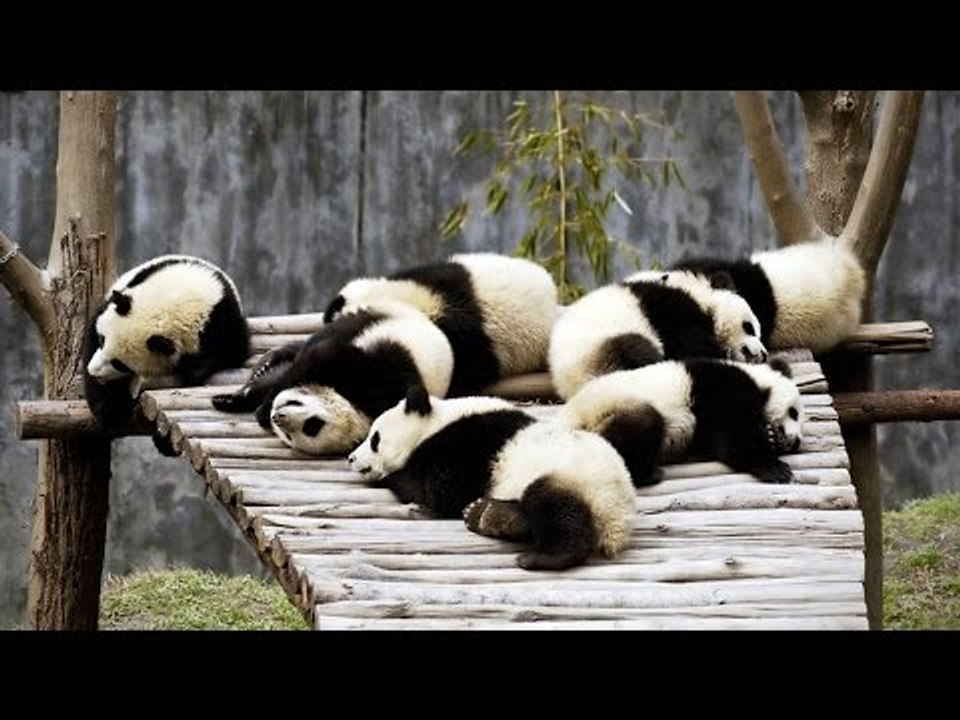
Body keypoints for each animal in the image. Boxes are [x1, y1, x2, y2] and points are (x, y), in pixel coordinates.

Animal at [84, 255, 250, 441]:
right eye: (102, 340)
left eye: (120, 364)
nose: (94, 370)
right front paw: (110, 408)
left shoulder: (222, 320)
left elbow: (231, 353)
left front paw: (193, 368)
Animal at [213, 302, 454, 455]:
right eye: (295, 403)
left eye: (311, 427)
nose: (277, 417)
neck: (358, 407)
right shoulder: (372, 371)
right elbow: (317, 358)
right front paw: (255, 406)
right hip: (371, 319)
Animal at [348, 385, 636, 571]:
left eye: (375, 439)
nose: (351, 459)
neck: (437, 421)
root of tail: (618, 519)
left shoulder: (466, 446)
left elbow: (440, 490)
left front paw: (392, 476)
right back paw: (486, 515)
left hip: (575, 478)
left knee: (556, 506)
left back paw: (541, 557)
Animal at [548, 274, 768, 400]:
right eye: (749, 328)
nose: (764, 354)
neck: (700, 297)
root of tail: (569, 384)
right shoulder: (674, 312)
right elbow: (693, 346)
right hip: (600, 348)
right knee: (636, 350)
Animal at [556, 358, 803, 487]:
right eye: (793, 413)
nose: (797, 442)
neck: (758, 381)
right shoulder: (722, 392)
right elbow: (736, 440)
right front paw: (776, 468)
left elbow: (719, 444)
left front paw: (770, 438)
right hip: (611, 409)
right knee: (640, 427)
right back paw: (648, 474)